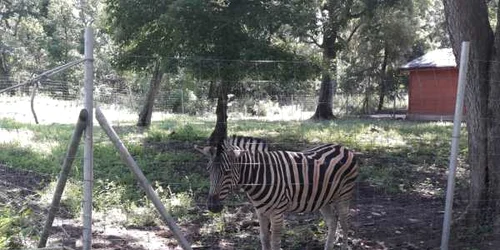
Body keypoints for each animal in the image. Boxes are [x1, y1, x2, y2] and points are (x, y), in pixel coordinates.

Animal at [195, 138, 360, 249]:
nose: (212, 207)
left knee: (345, 223)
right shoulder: (260, 211)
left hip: (344, 195)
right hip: (323, 198)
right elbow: (264, 238)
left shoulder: (278, 212)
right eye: (208, 170)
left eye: (227, 172)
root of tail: (343, 147)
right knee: (333, 222)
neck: (260, 176)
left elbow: (275, 242)